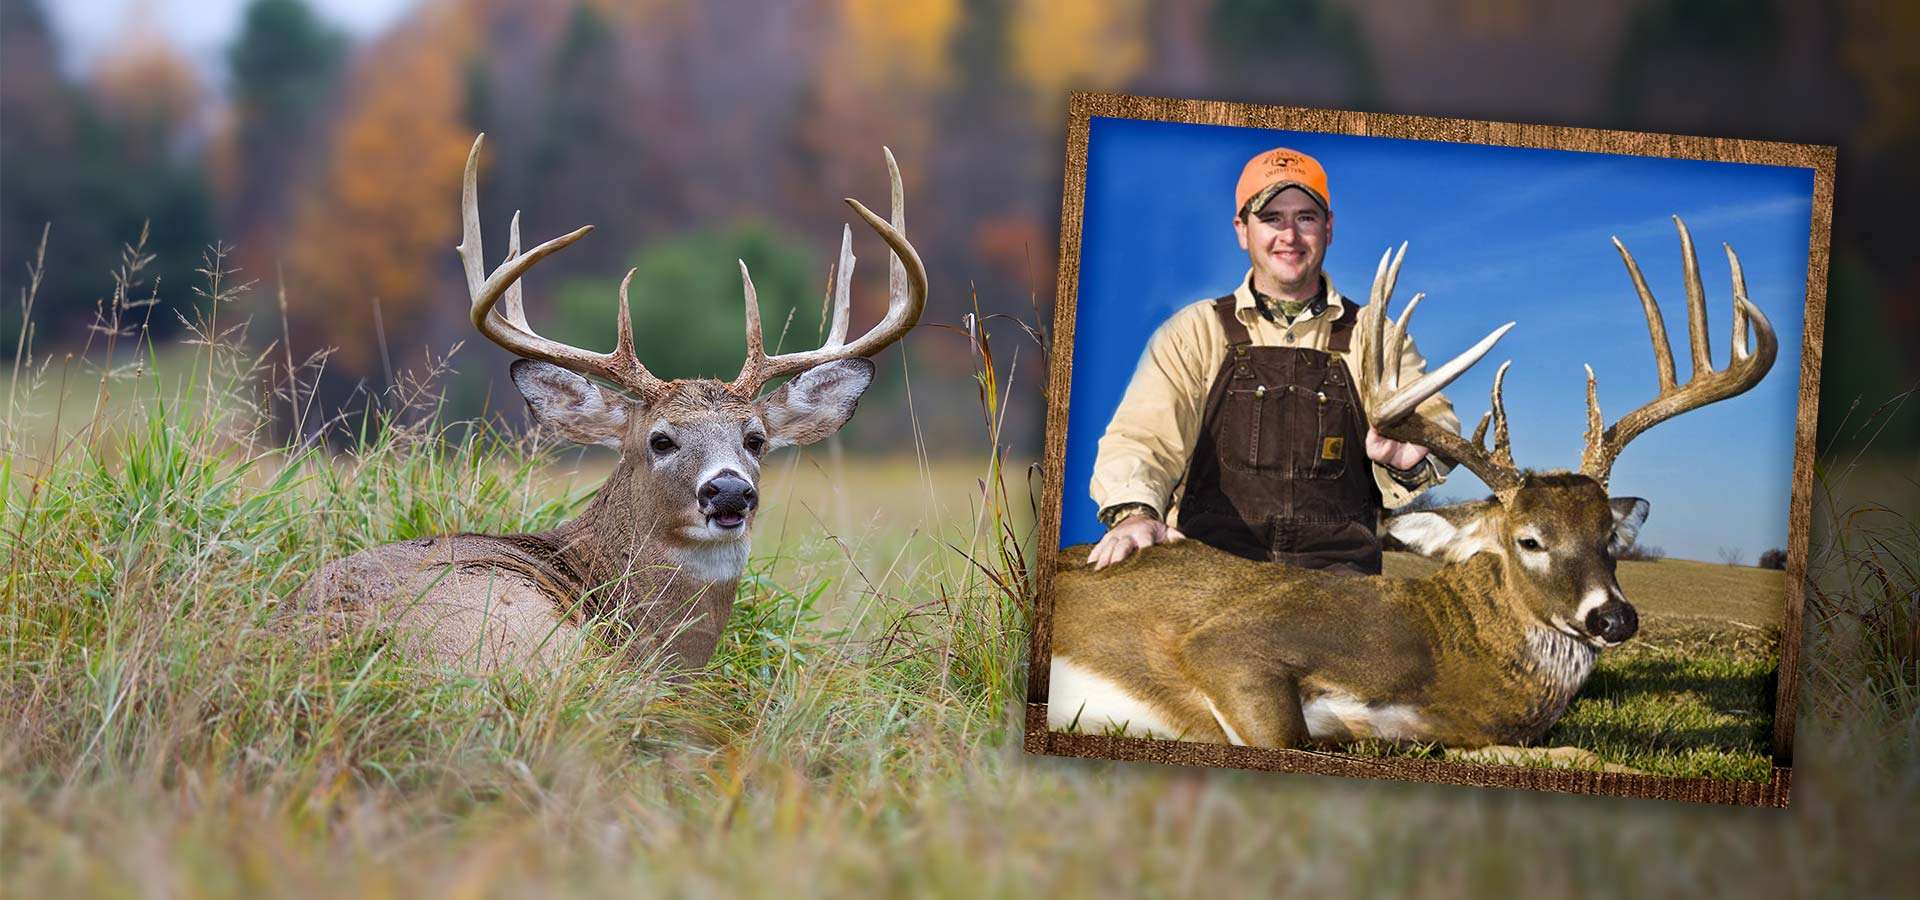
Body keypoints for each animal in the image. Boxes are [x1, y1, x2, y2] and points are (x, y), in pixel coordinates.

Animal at [1046, 218, 1776, 764]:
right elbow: (1294, 738)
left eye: (1609, 537)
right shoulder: (1228, 644)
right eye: (1530, 540)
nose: (1615, 619)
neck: (1449, 662)